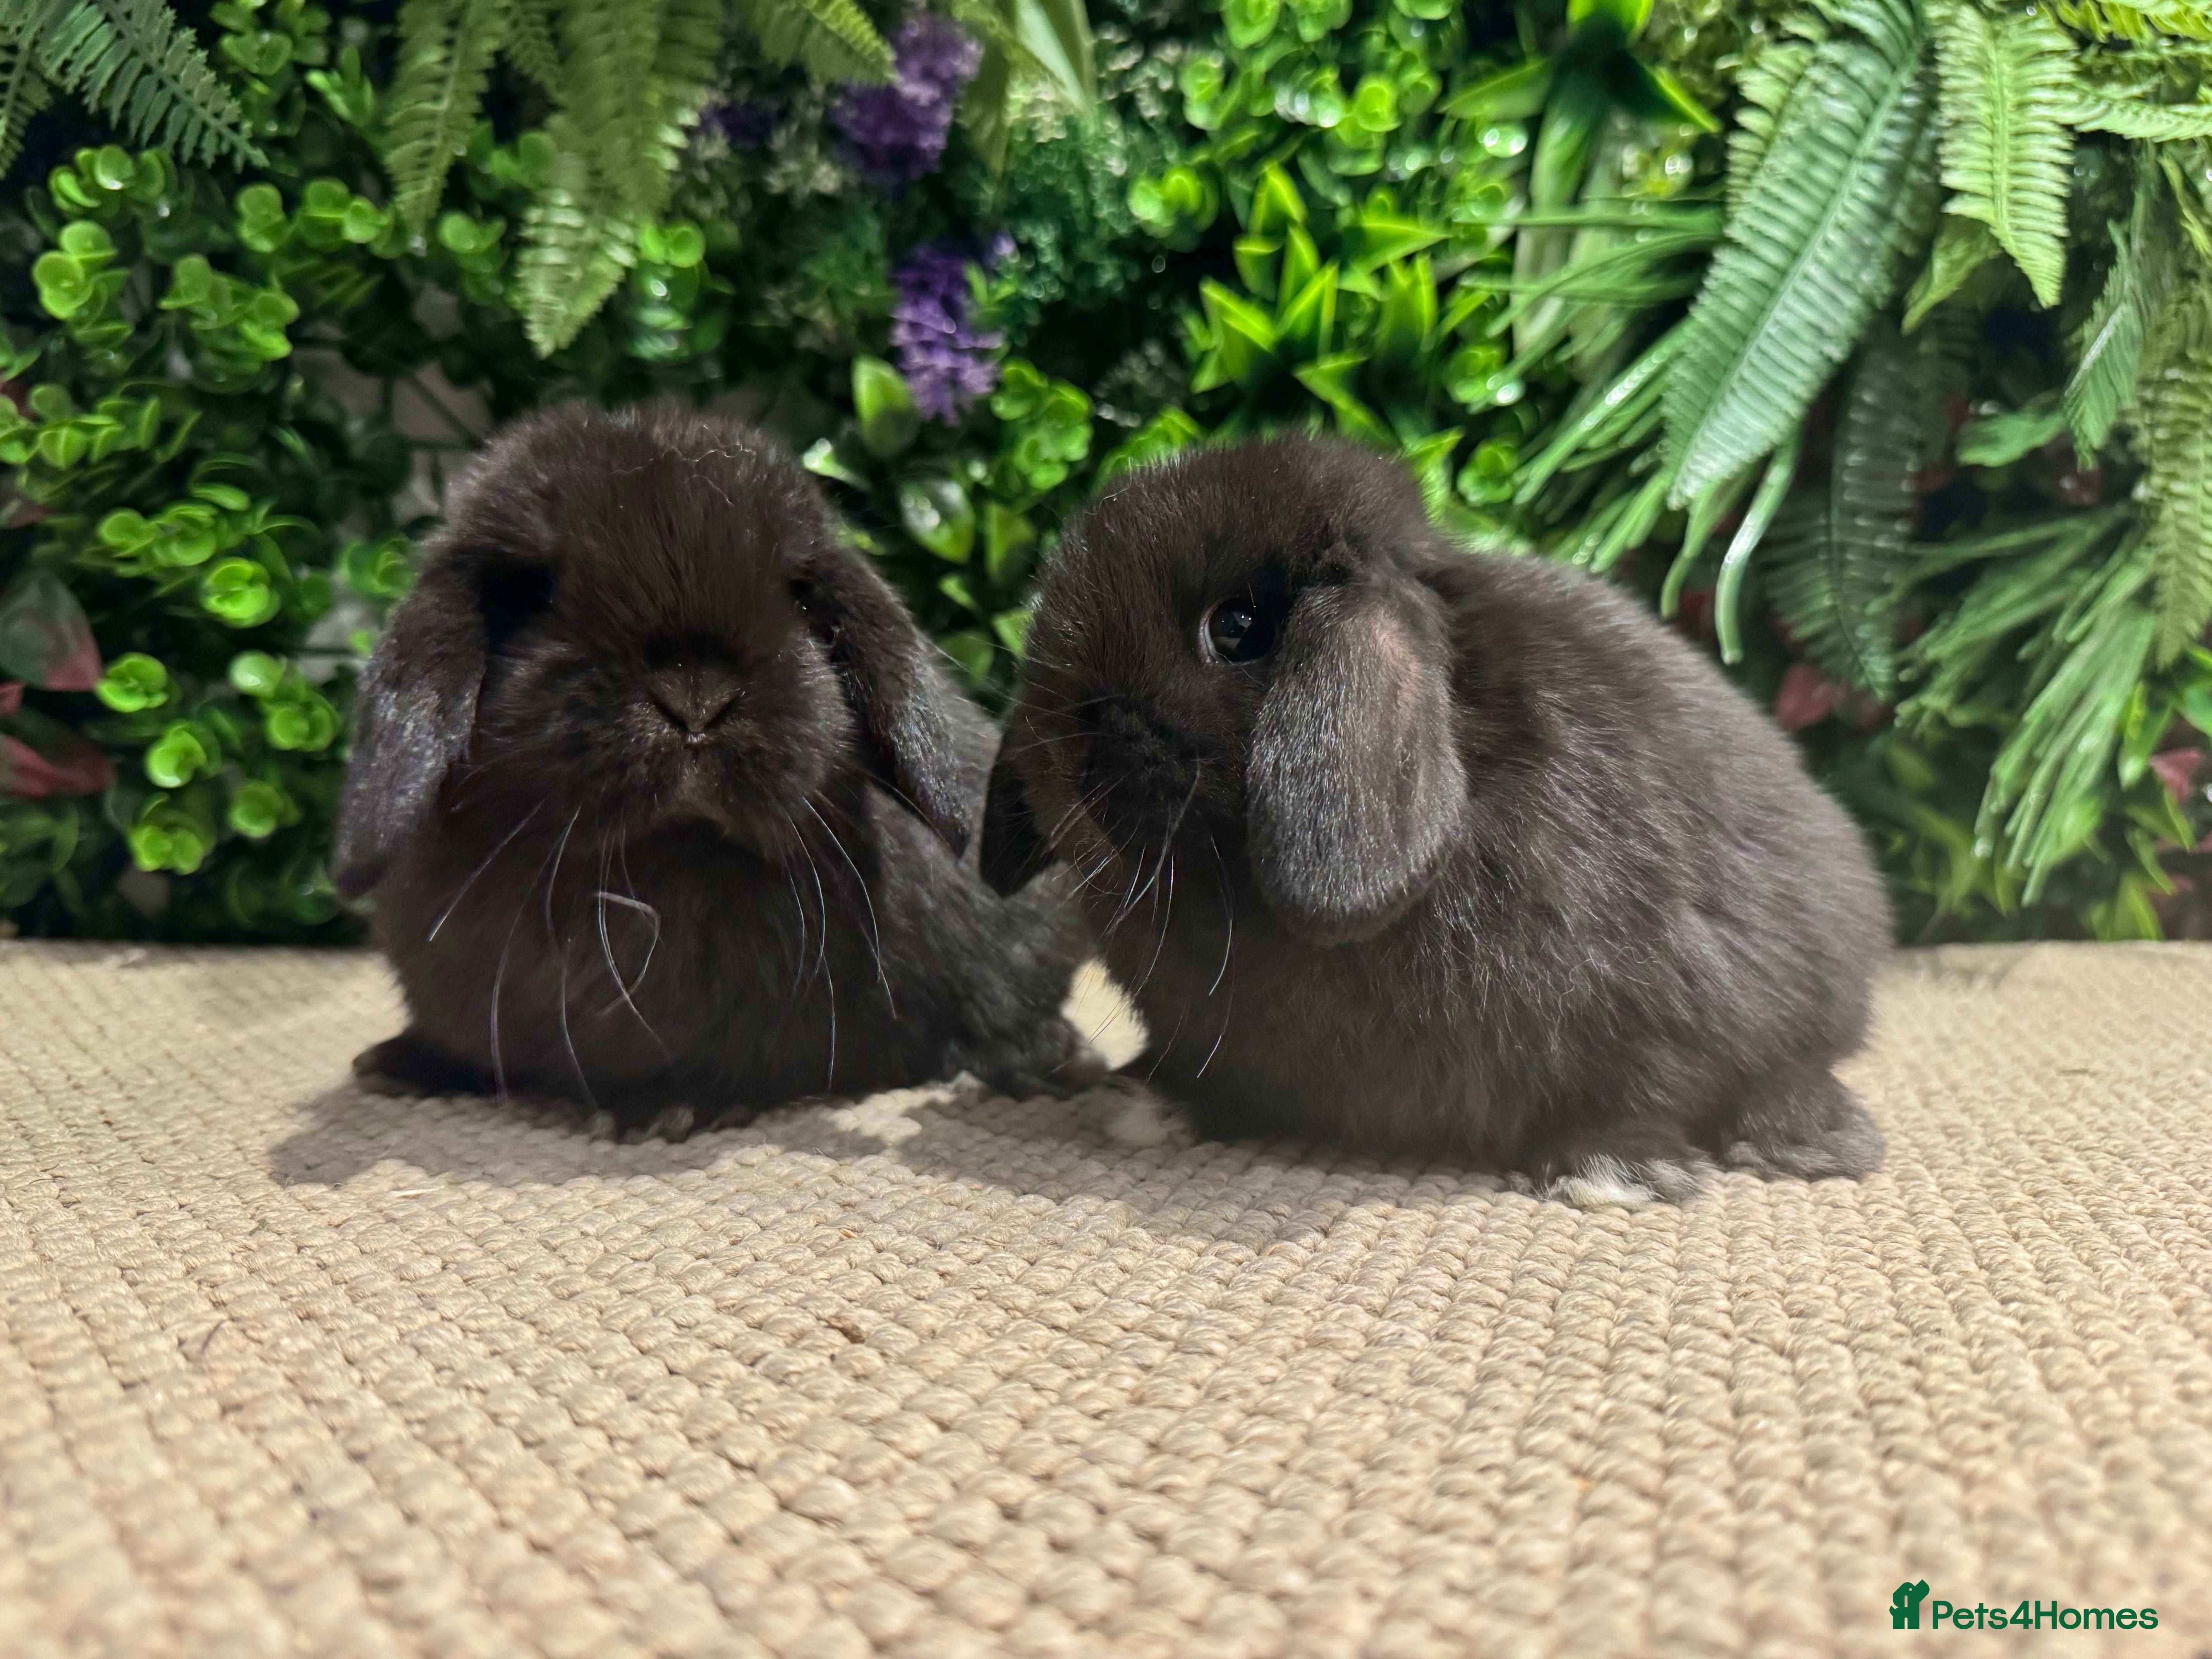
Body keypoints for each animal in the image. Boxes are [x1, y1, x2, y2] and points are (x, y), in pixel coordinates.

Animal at [330, 401, 1093, 1132]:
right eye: (534, 594)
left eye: (799, 595)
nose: (697, 696)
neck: (655, 871)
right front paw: (404, 1063)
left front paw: (669, 1109)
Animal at [978, 434, 1889, 1205]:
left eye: (1237, 628)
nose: (1050, 743)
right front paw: (1148, 1103)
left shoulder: (1666, 1004)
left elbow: (1642, 1087)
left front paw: (1607, 1169)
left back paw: (1809, 1137)